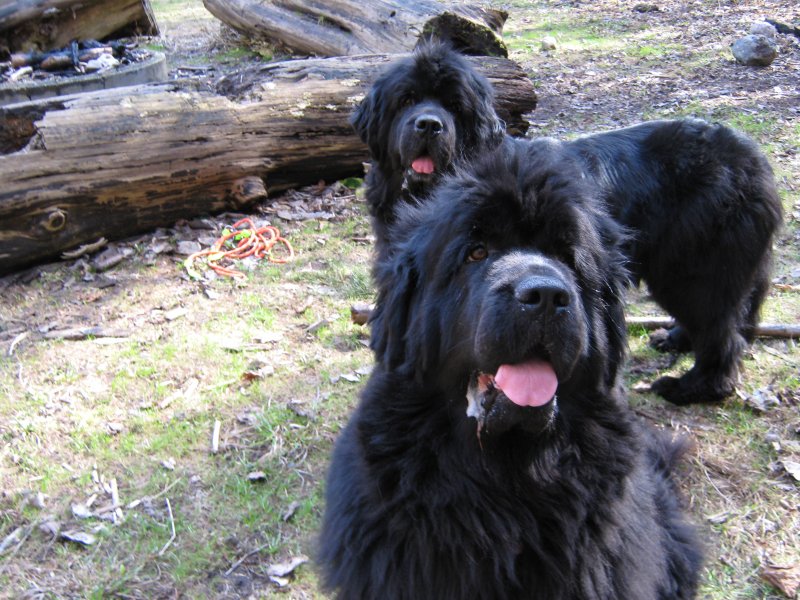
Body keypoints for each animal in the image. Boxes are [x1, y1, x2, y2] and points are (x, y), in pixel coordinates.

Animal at [351, 43, 782, 405]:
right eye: (406, 100)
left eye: (454, 106)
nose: (429, 124)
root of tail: (753, 158)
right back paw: (676, 340)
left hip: (694, 270)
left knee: (721, 333)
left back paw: (696, 388)